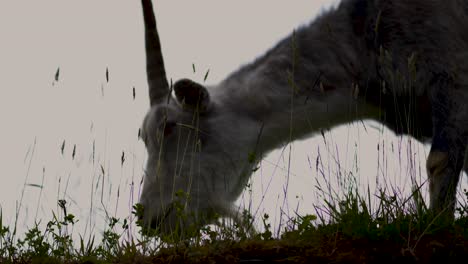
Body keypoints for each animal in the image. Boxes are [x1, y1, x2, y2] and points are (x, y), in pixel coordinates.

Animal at [138, 0, 468, 235]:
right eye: (143, 137)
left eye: (171, 126)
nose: (152, 219)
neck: (360, 38)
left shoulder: (451, 76)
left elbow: (438, 163)